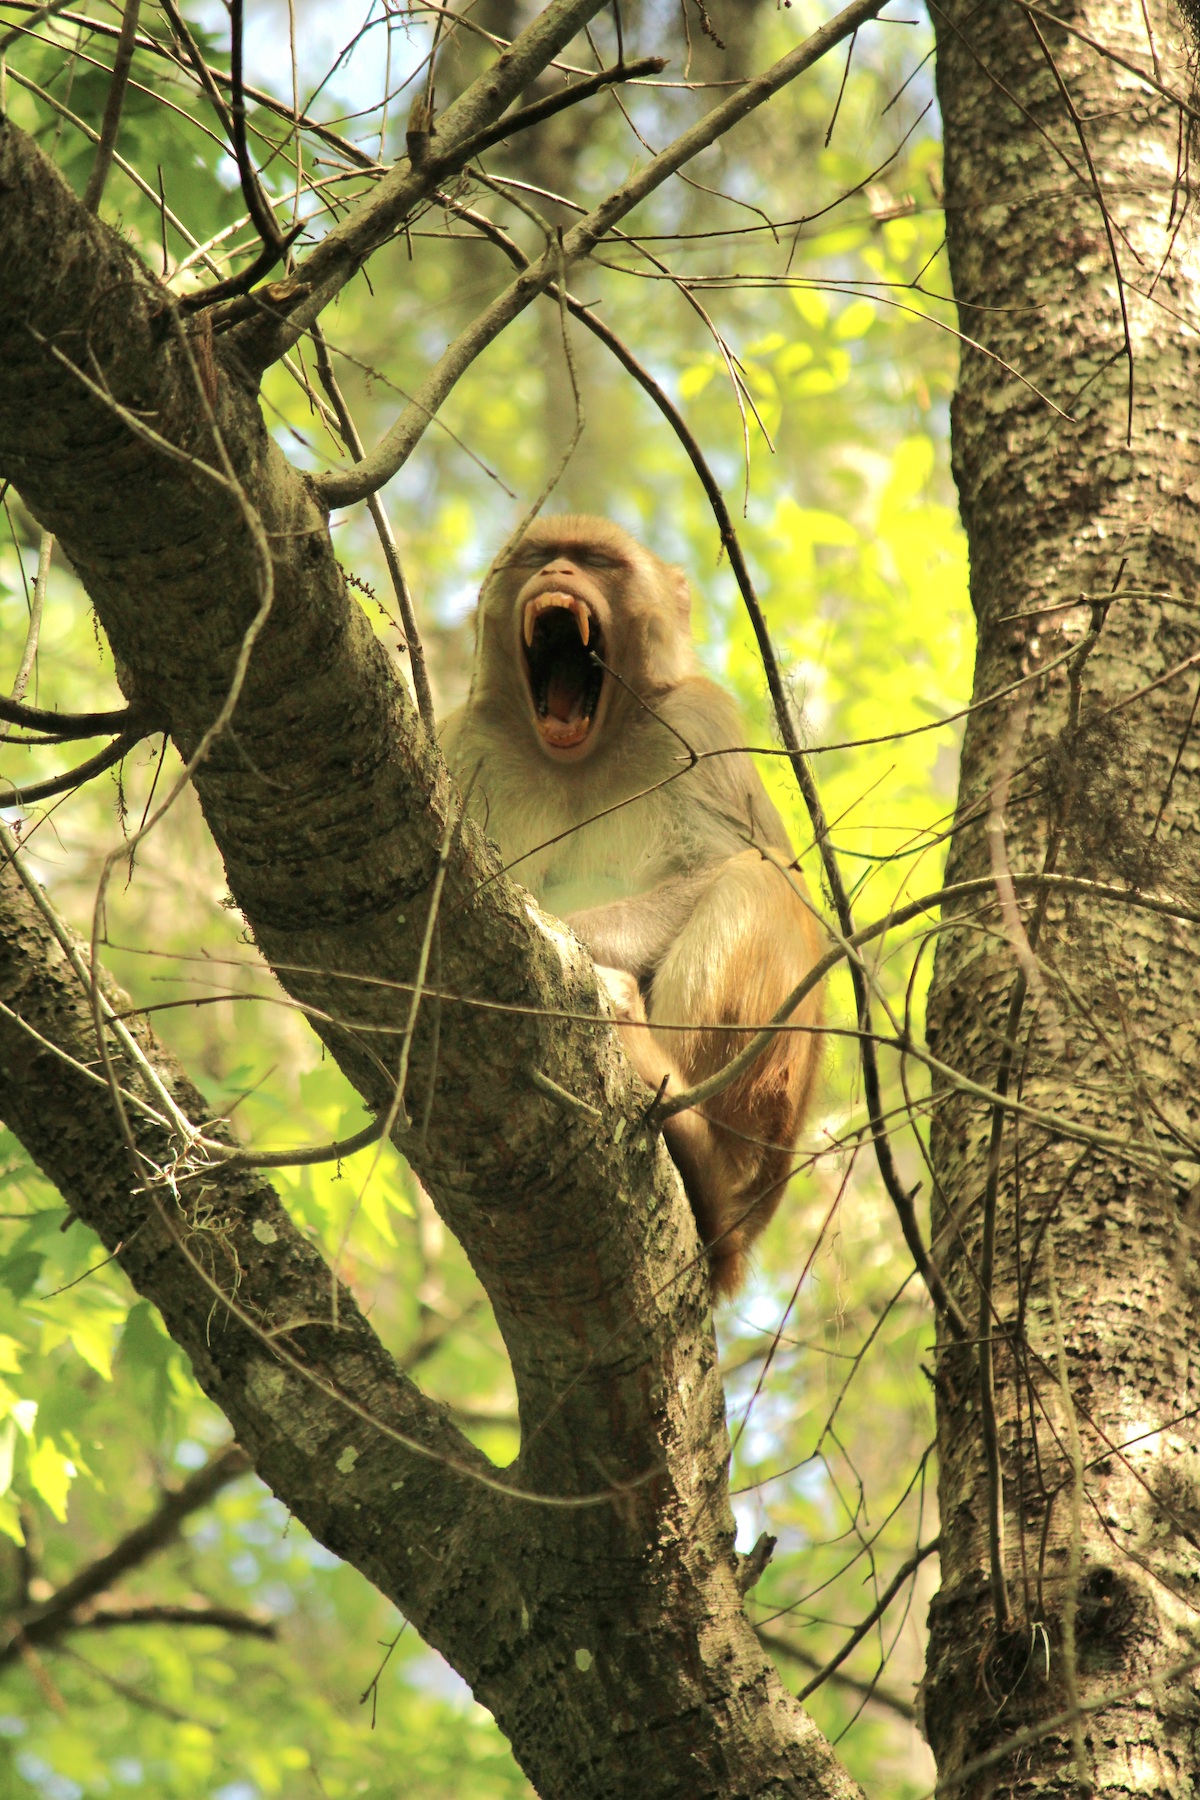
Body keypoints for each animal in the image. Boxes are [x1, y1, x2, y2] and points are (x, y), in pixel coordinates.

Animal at [440, 514, 827, 1288]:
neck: (578, 759)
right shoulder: (465, 746)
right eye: (538, 555)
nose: (558, 572)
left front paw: (566, 939)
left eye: (596, 561)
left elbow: (741, 864)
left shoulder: (698, 723)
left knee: (757, 882)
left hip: (765, 1113)